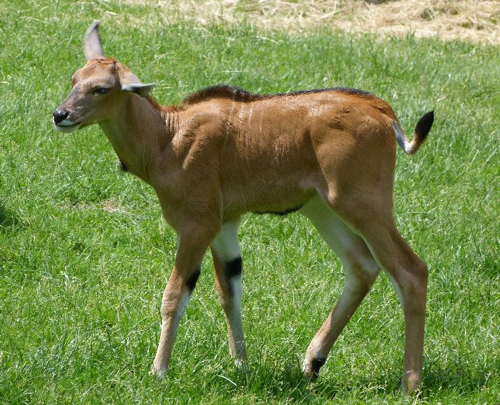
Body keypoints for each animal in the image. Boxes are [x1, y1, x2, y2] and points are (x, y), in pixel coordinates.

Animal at [53, 21, 434, 392]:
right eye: (74, 79)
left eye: (102, 88)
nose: (61, 114)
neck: (167, 137)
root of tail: (384, 114)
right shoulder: (225, 225)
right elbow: (229, 291)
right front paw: (241, 363)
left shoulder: (197, 226)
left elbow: (175, 295)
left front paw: (158, 371)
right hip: (322, 208)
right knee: (362, 266)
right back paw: (312, 363)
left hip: (363, 205)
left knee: (411, 271)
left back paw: (410, 382)